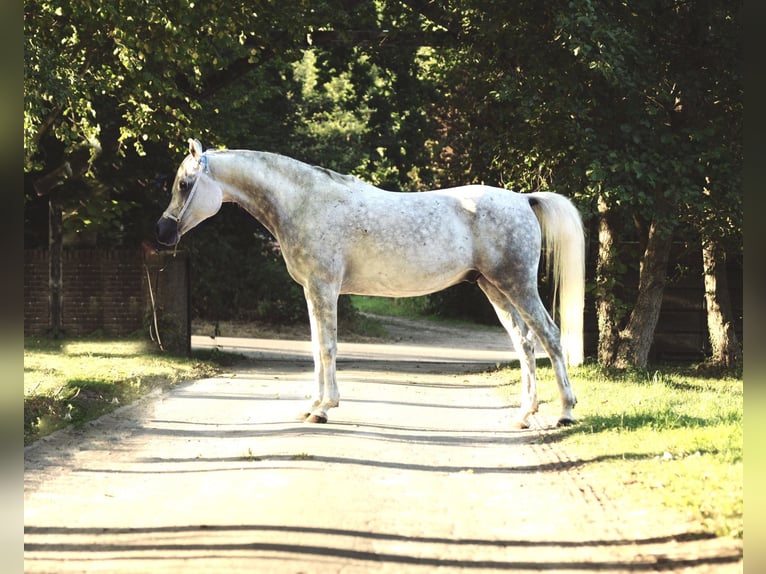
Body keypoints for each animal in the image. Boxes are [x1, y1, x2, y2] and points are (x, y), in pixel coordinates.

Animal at [156, 138, 585, 429]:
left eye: (184, 184)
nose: (163, 232)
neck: (306, 203)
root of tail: (524, 198)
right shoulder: (311, 291)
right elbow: (316, 349)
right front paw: (313, 405)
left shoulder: (324, 288)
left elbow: (327, 348)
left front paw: (323, 409)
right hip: (494, 288)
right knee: (524, 344)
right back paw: (525, 414)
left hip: (518, 285)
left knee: (549, 336)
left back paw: (565, 412)